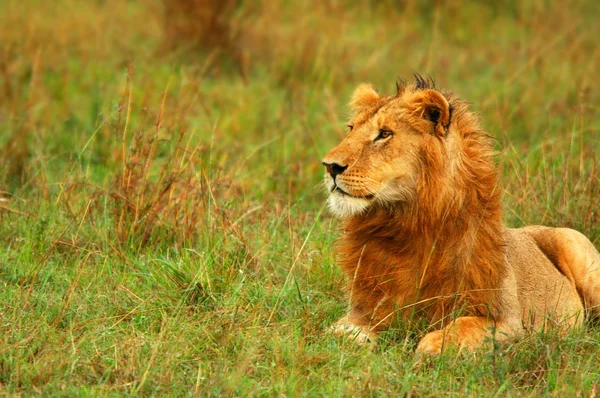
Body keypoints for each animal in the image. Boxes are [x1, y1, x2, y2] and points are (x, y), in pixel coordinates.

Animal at [322, 74, 600, 354]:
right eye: (351, 129)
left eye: (385, 134)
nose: (330, 166)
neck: (405, 224)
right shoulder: (364, 311)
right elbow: (335, 334)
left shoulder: (509, 322)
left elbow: (459, 329)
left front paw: (429, 348)